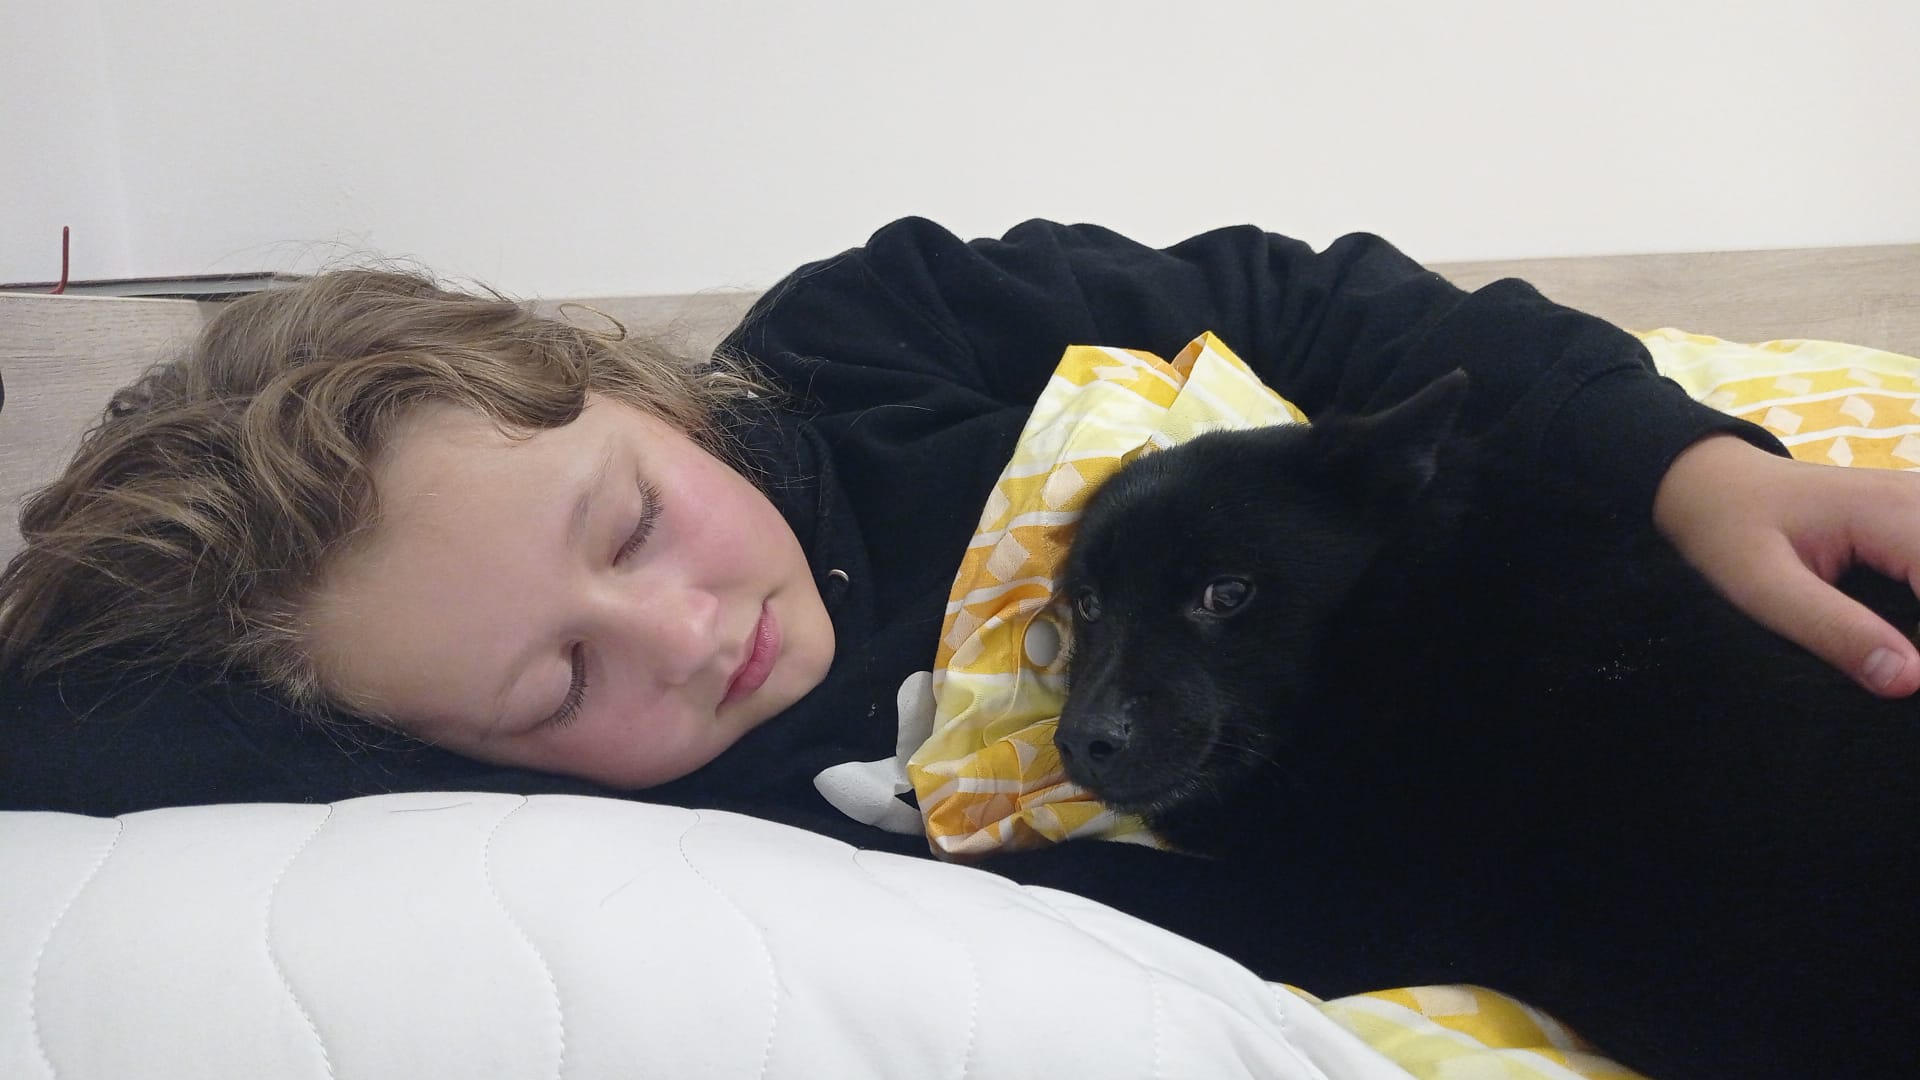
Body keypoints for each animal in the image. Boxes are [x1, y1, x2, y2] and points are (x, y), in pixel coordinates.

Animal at [1054, 371, 1919, 1080]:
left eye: (1225, 593)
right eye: (1087, 605)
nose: (1080, 744)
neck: (1405, 627)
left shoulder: (1353, 912)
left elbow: (1083, 866)